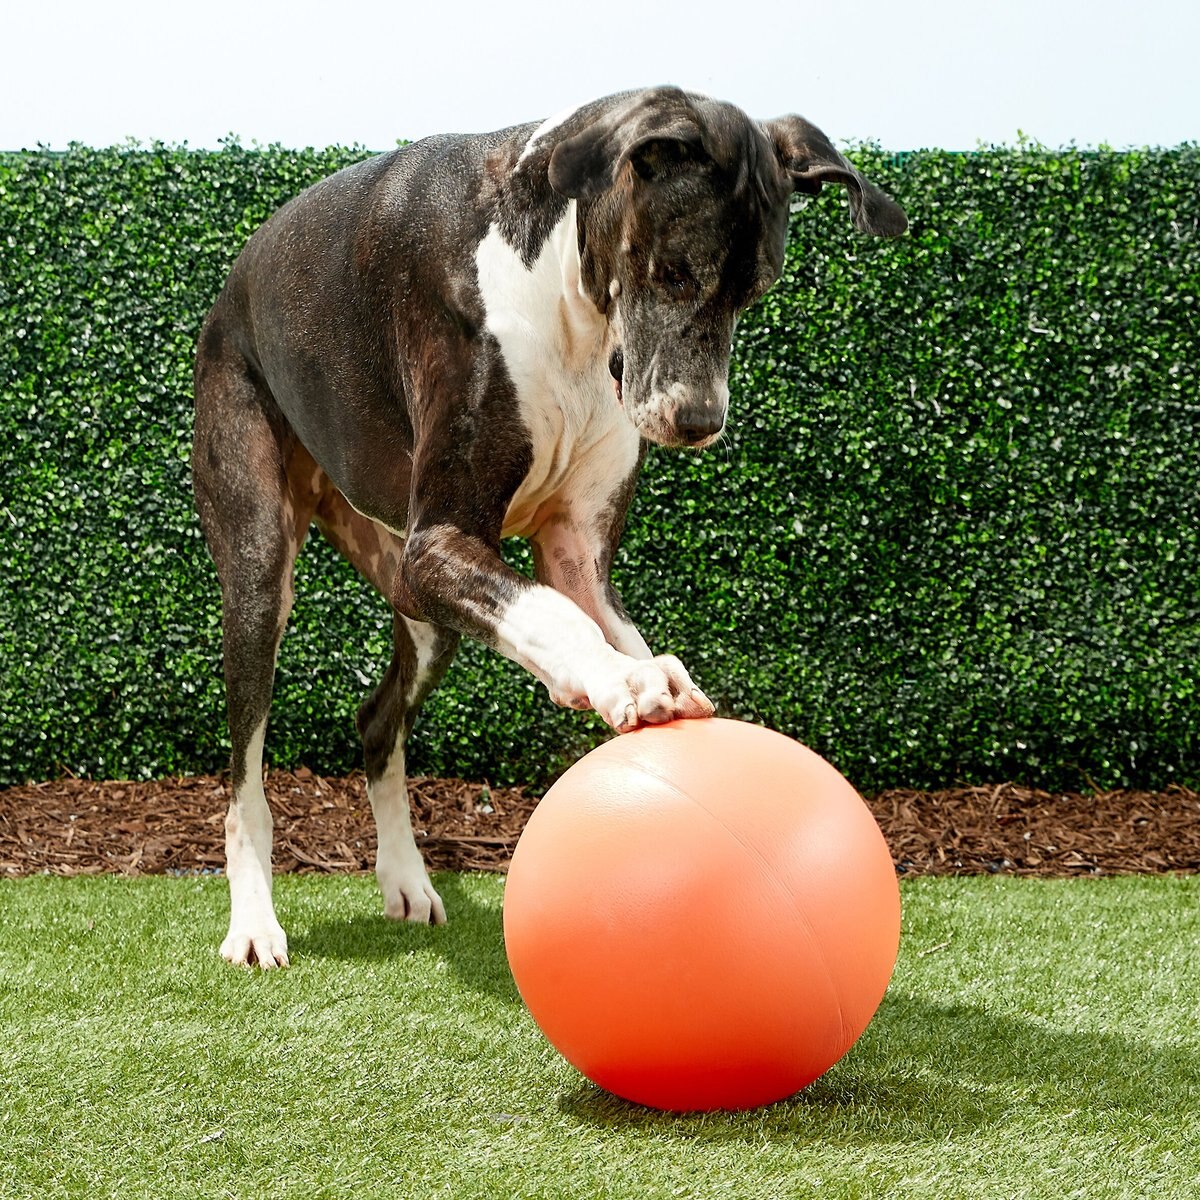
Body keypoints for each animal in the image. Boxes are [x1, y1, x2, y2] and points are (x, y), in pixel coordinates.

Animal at [192, 84, 902, 964]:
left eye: (755, 291)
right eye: (674, 271)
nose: (699, 422)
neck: (558, 289)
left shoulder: (571, 553)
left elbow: (586, 608)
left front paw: (654, 673)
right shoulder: (441, 547)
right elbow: (559, 617)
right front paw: (623, 679)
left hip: (421, 607)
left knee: (376, 720)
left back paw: (406, 880)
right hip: (264, 567)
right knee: (245, 782)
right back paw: (255, 922)